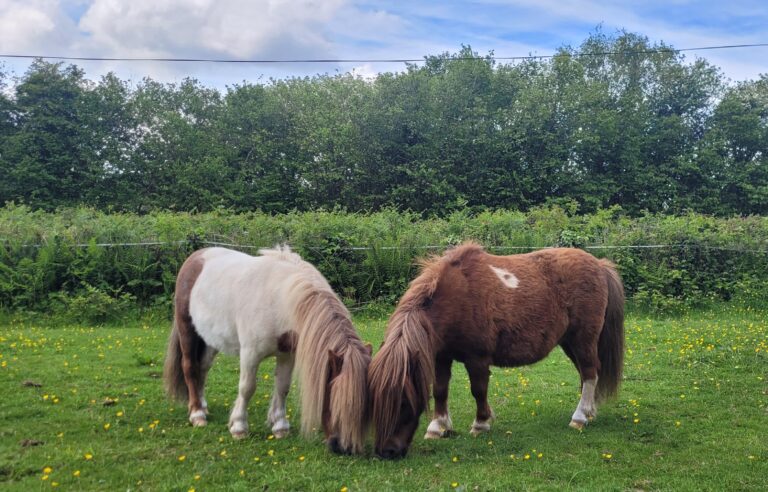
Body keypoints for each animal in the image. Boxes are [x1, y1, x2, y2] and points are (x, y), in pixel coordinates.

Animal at [163, 246, 371, 455]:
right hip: (187, 330)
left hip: (211, 338)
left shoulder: (287, 355)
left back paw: (203, 406)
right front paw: (239, 427)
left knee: (203, 368)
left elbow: (282, 387)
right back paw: (197, 414)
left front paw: (280, 427)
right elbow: (247, 388)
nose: (342, 447)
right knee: (190, 367)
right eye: (337, 400)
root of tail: (197, 256)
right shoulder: (250, 354)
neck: (279, 299)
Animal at [368, 242, 624, 459]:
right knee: (588, 374)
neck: (455, 298)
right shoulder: (441, 357)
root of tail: (599, 265)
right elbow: (440, 390)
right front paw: (438, 427)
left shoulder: (477, 359)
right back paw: (590, 412)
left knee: (589, 373)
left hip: (583, 339)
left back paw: (579, 418)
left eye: (403, 403)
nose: (387, 451)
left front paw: (481, 424)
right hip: (569, 342)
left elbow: (478, 390)